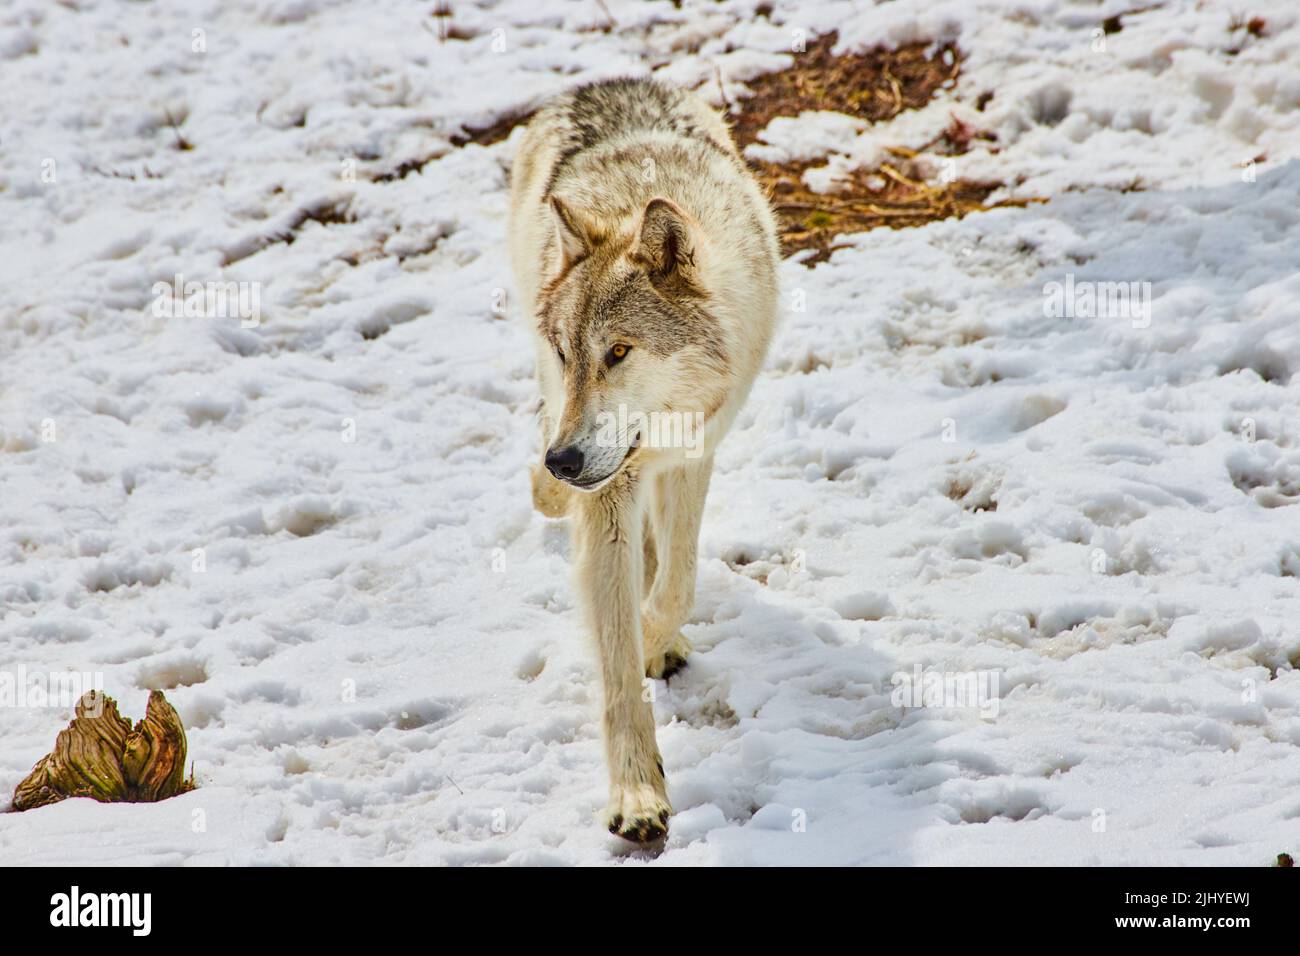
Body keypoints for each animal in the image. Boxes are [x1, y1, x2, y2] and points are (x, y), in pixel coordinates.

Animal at [509, 77, 779, 843]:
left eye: (619, 351)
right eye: (570, 352)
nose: (564, 461)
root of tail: (601, 81)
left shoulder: (693, 450)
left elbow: (674, 588)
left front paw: (656, 635)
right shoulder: (607, 486)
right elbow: (618, 657)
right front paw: (636, 795)